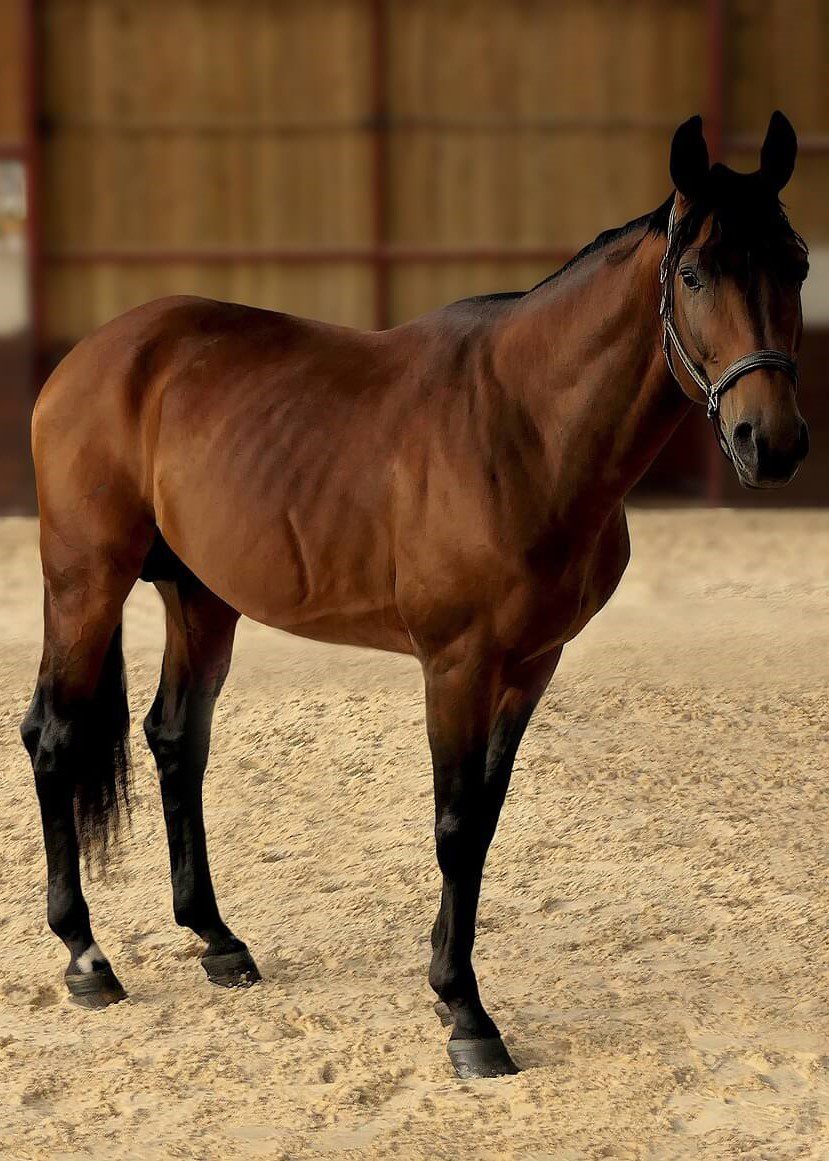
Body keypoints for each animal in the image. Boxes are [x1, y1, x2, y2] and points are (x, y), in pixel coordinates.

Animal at [21, 112, 809, 1079]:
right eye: (694, 273)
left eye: (796, 263)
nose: (769, 442)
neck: (522, 428)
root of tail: (93, 355)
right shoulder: (456, 664)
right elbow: (454, 824)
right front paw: (467, 1013)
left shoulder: (531, 664)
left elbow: (485, 820)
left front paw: (447, 986)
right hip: (83, 581)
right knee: (53, 738)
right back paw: (86, 956)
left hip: (200, 597)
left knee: (177, 741)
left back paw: (217, 939)